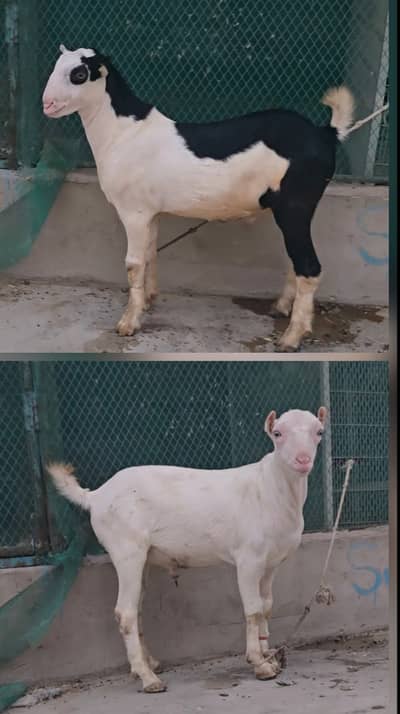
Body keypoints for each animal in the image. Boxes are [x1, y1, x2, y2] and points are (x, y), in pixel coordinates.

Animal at [43, 46, 354, 350]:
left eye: (79, 74)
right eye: (57, 65)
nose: (47, 104)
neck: (125, 132)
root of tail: (325, 134)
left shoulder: (133, 211)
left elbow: (133, 263)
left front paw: (128, 323)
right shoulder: (151, 212)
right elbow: (150, 252)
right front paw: (148, 300)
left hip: (295, 206)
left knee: (309, 267)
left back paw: (291, 338)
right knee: (296, 260)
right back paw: (281, 308)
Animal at [47, 406, 327, 693]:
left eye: (319, 432)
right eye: (278, 433)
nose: (303, 460)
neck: (271, 487)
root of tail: (97, 496)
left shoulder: (271, 561)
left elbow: (267, 606)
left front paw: (269, 654)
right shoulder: (248, 558)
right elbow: (253, 609)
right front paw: (259, 664)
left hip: (142, 557)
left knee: (136, 608)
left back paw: (149, 664)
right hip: (126, 547)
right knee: (125, 612)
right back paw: (148, 678)